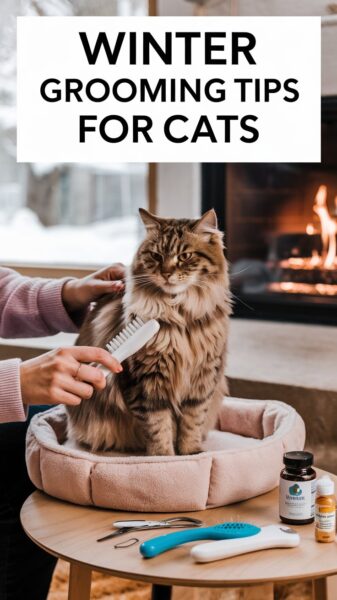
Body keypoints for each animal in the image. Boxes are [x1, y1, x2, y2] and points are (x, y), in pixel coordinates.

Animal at [66, 207, 231, 454]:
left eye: (184, 256)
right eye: (156, 256)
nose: (166, 273)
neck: (181, 317)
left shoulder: (203, 380)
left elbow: (192, 423)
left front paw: (192, 453)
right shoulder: (146, 384)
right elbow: (159, 428)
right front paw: (164, 457)